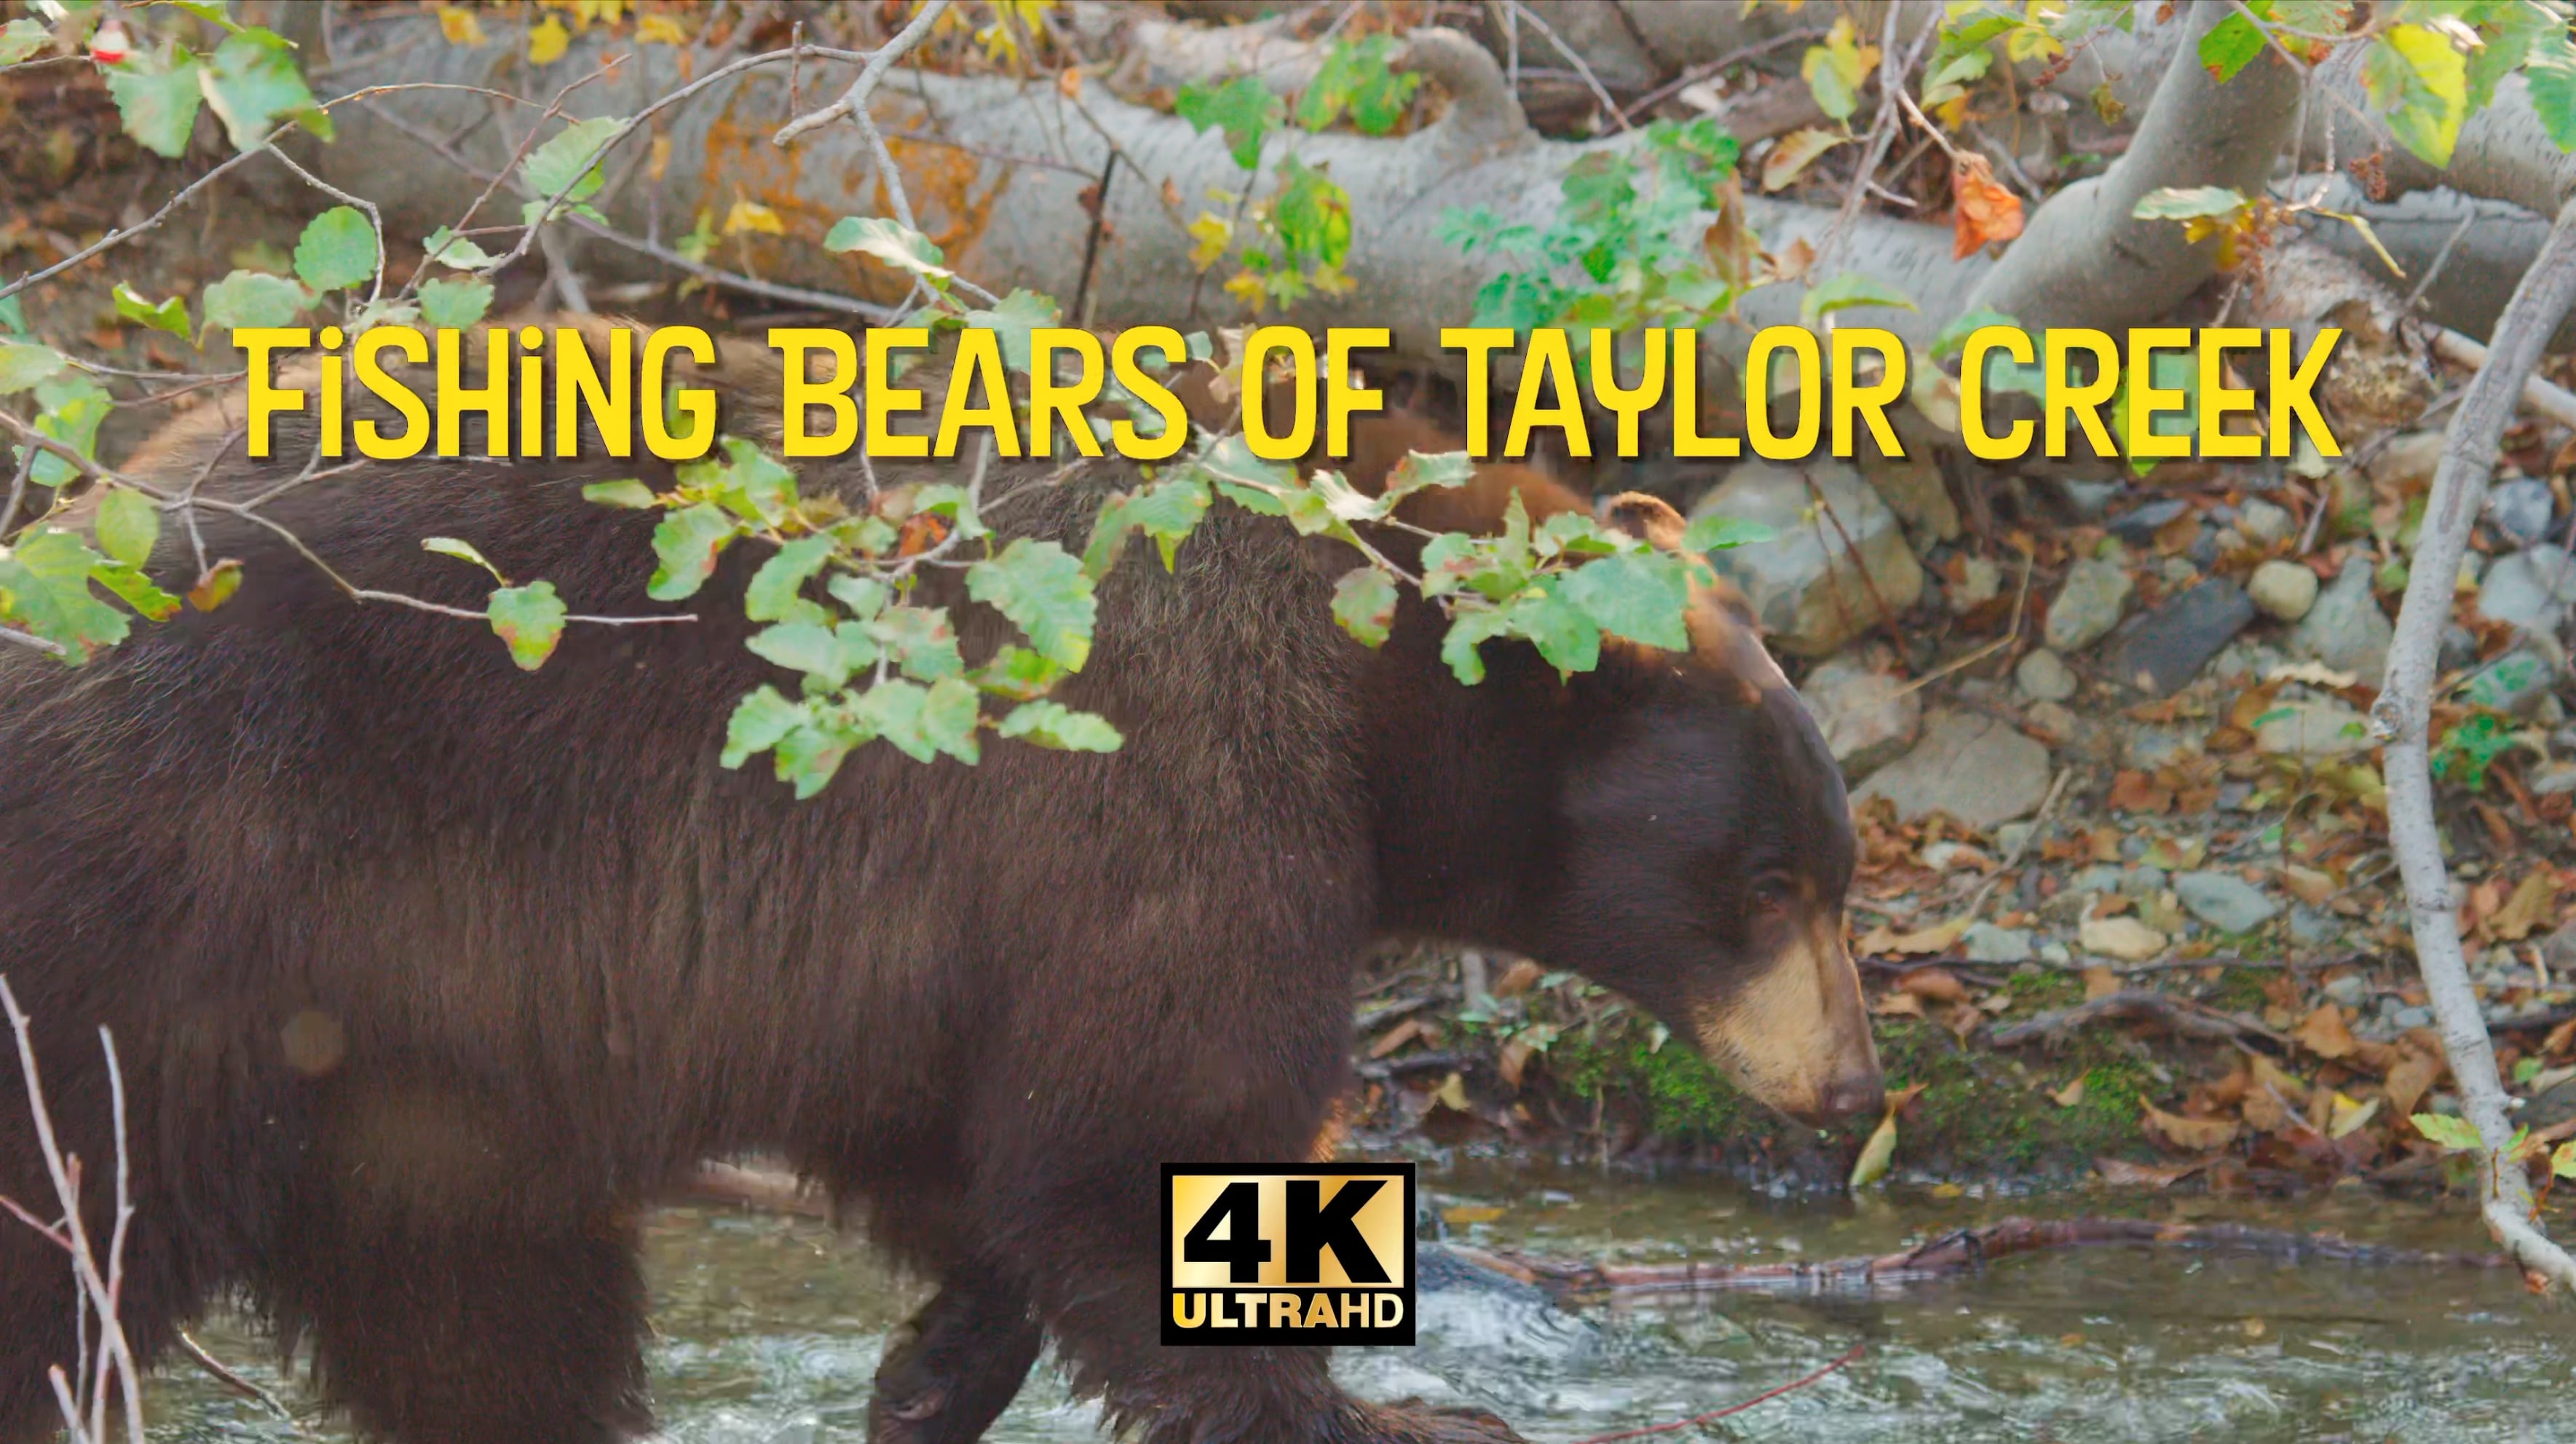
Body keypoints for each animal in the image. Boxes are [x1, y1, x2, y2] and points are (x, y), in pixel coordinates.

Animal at [0, 319, 1878, 1444]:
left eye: (1840, 876)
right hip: (173, 920)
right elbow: (1138, 1132)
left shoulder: (922, 934)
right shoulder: (1171, 794)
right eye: (1766, 879)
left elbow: (969, 1138)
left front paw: (931, 1366)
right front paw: (1365, 1407)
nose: (1855, 1083)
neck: (1374, 685)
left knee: (490, 1320)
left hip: (421, 1066)